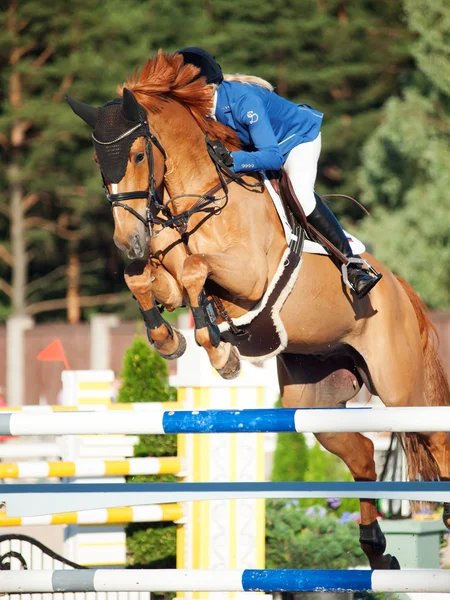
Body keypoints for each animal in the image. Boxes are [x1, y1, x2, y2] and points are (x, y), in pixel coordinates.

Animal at [66, 49, 450, 568]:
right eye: (96, 161)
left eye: (139, 155)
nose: (128, 243)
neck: (196, 198)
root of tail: (401, 291)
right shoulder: (166, 274)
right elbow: (147, 281)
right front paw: (170, 338)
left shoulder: (246, 274)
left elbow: (196, 270)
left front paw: (218, 349)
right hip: (312, 397)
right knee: (362, 453)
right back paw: (375, 551)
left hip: (401, 387)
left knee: (435, 437)